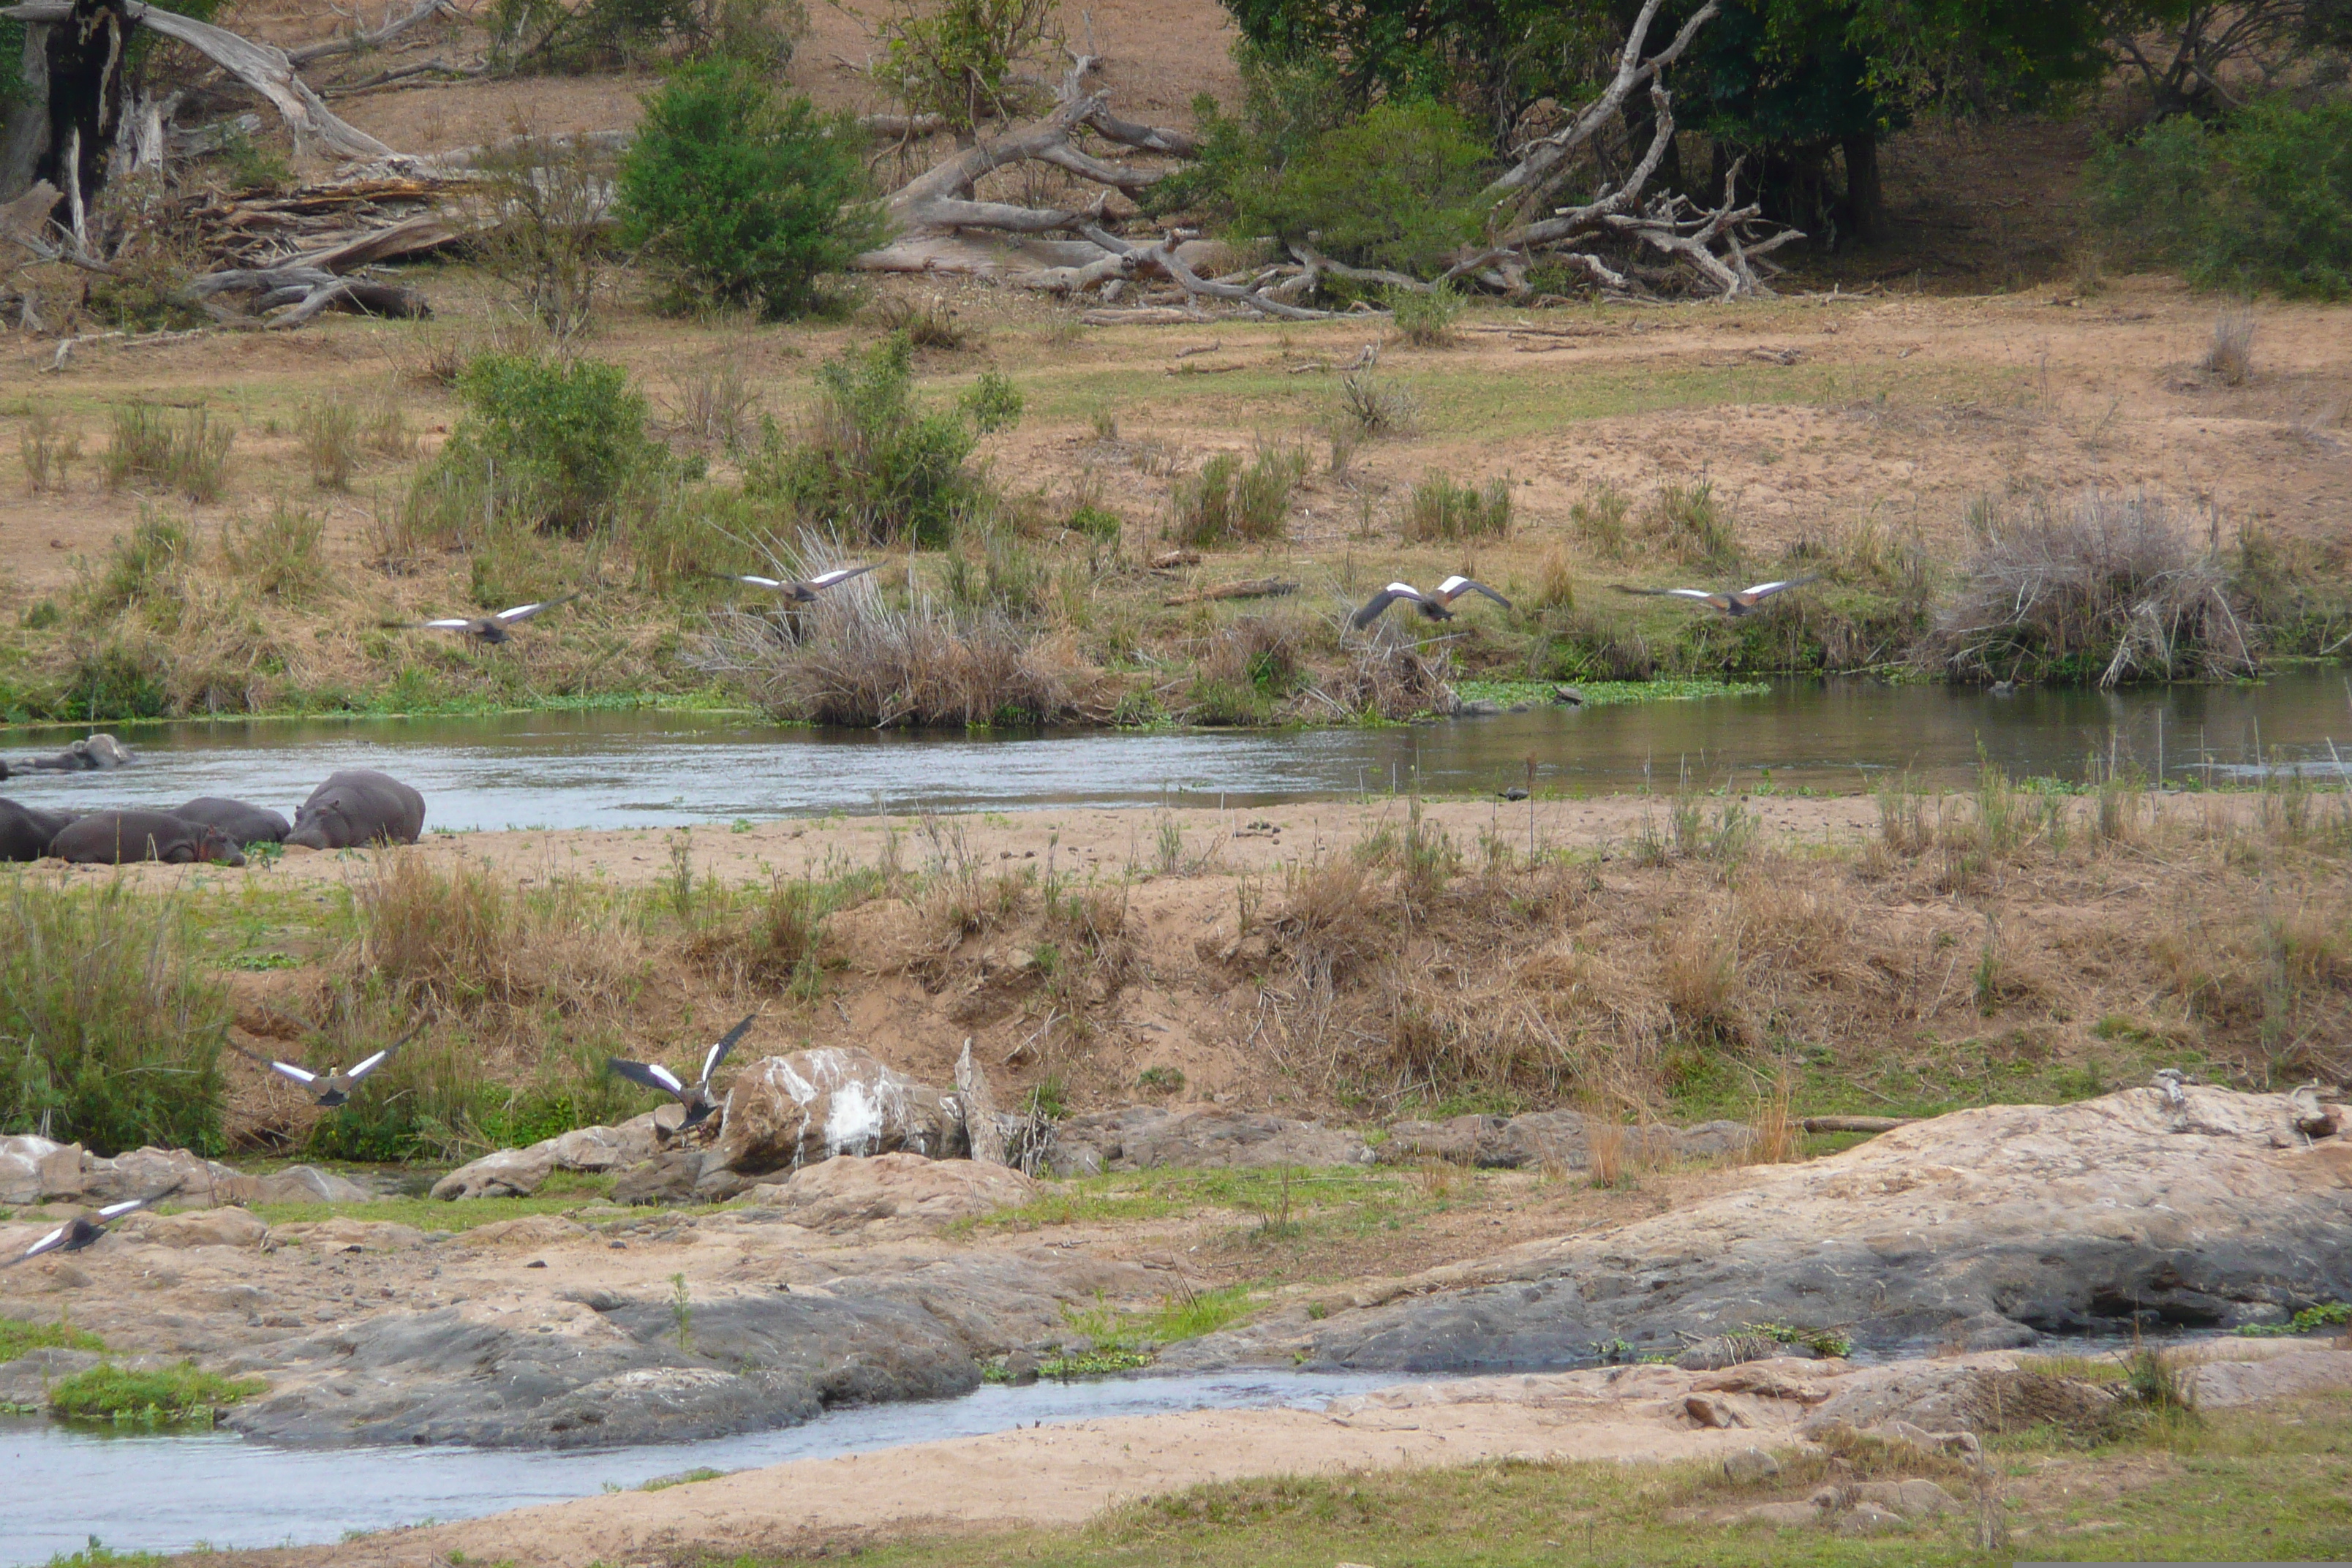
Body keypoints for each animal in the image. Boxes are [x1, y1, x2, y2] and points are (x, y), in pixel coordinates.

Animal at [49, 808, 249, 870]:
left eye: (234, 838)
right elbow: (185, 855)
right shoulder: (178, 844)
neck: (200, 836)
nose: (241, 857)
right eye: (221, 838)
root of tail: (56, 837)